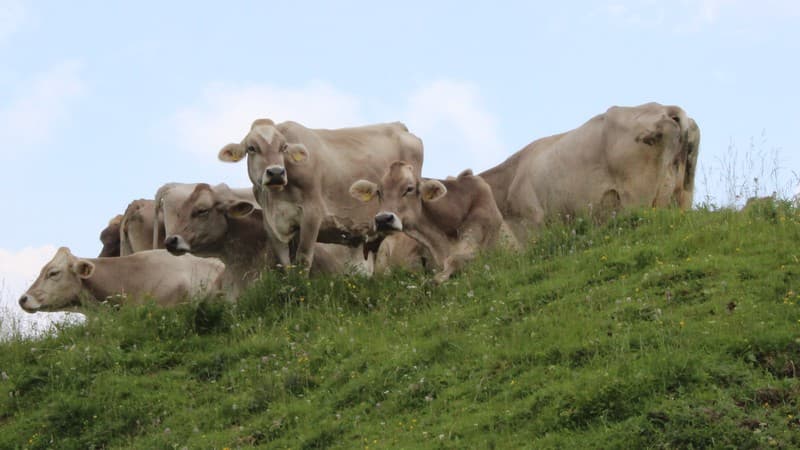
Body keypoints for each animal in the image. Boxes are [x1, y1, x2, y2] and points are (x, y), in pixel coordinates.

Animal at [212, 118, 424, 268]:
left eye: (283, 147)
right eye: (251, 148)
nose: (276, 173)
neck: (276, 198)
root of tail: (399, 126)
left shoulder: (312, 213)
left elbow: (303, 258)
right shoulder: (272, 223)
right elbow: (285, 263)